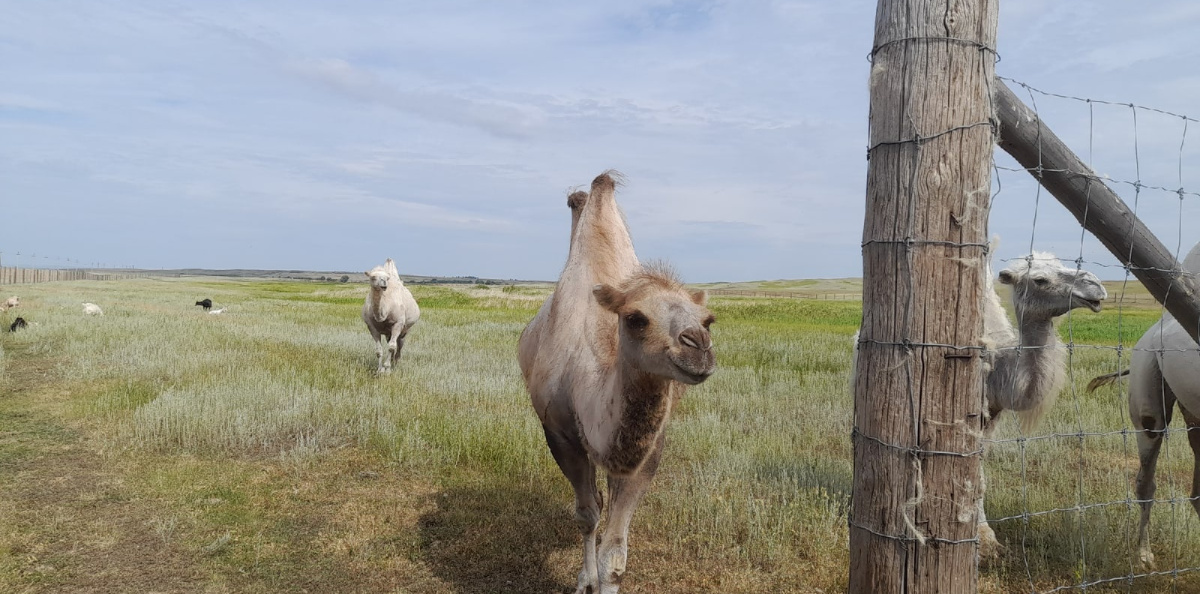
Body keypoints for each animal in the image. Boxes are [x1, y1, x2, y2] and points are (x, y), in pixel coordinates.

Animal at [519, 172, 716, 594]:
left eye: (709, 320)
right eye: (636, 318)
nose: (699, 348)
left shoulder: (647, 445)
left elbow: (615, 553)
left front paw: (602, 576)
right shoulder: (559, 432)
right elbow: (587, 515)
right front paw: (584, 581)